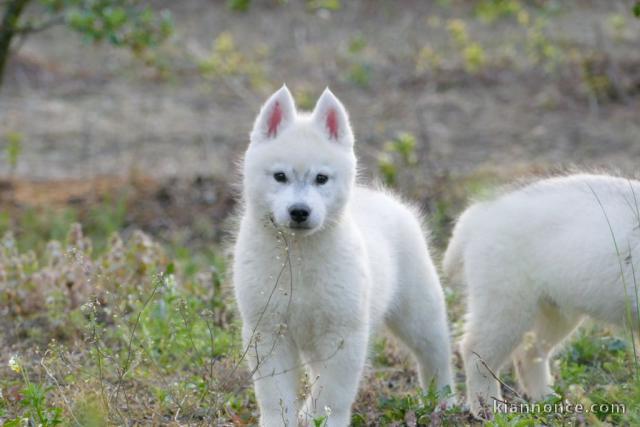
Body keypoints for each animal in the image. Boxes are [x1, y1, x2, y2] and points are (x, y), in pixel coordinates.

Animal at [235, 85, 456, 426]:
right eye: (280, 176)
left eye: (321, 178)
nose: (299, 211)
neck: (298, 257)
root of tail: (385, 199)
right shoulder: (269, 332)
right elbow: (276, 397)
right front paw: (285, 419)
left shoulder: (343, 334)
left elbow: (332, 396)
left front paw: (324, 419)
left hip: (419, 313)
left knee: (436, 355)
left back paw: (444, 401)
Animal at [442, 173, 640, 414]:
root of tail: (478, 214)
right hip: (505, 307)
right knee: (475, 351)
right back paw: (488, 410)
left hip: (553, 311)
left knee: (530, 353)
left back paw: (547, 401)